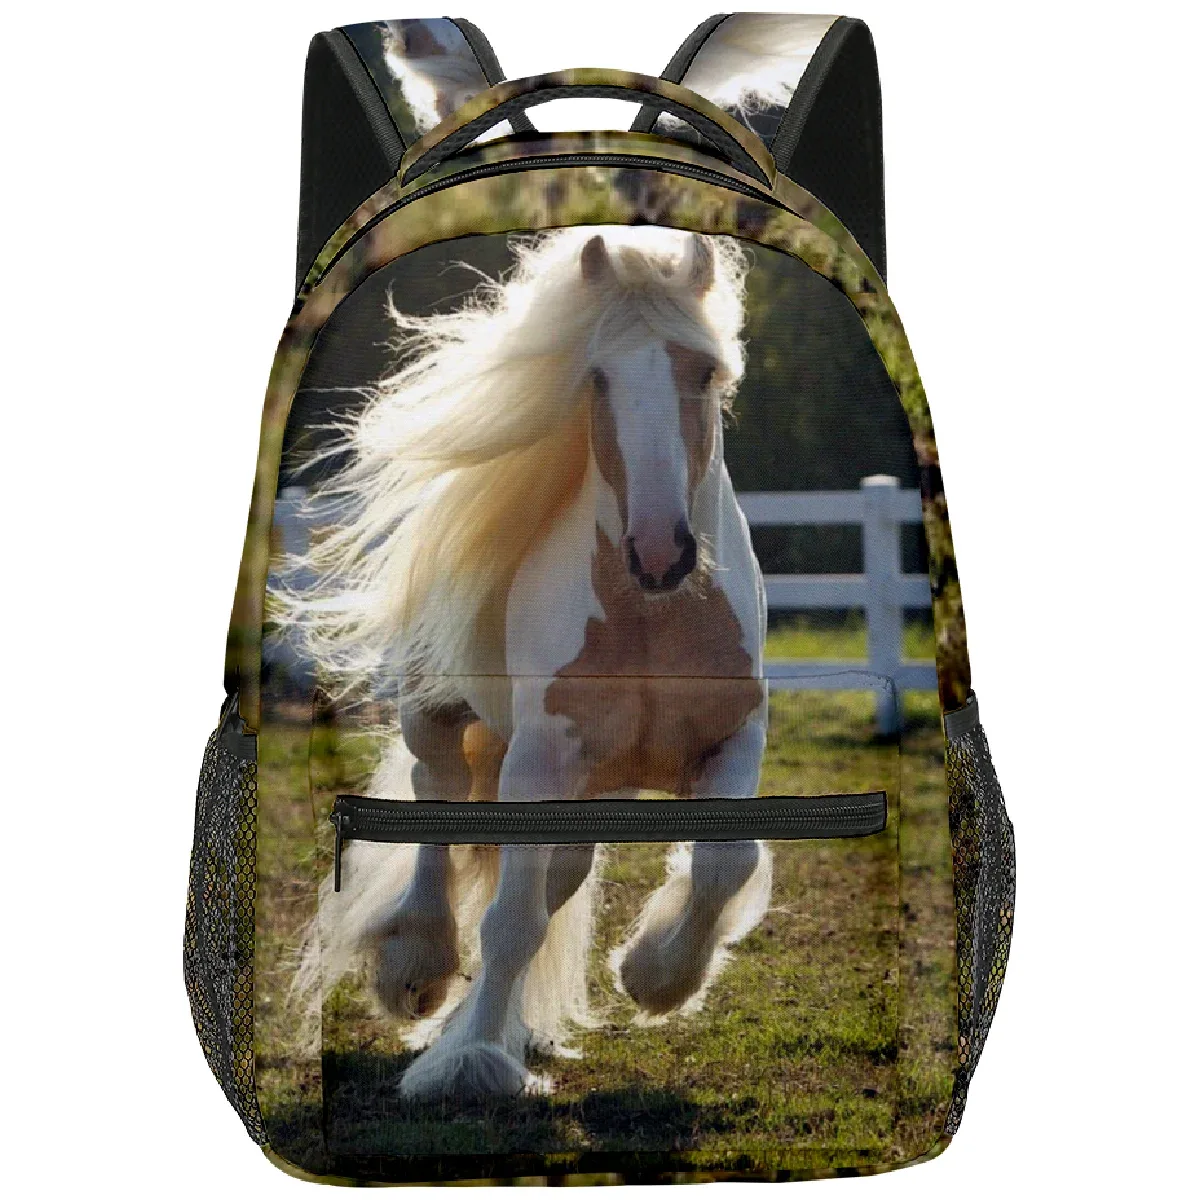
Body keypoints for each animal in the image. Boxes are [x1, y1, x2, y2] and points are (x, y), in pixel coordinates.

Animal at [287, 226, 772, 1100]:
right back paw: (419, 969)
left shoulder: (733, 740)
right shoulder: (539, 764)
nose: (660, 553)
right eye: (598, 376)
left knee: (557, 881)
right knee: (437, 798)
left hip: (589, 786)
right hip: (438, 715)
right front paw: (471, 1059)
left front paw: (655, 977)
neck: (651, 621)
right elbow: (509, 922)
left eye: (704, 372)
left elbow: (726, 862)